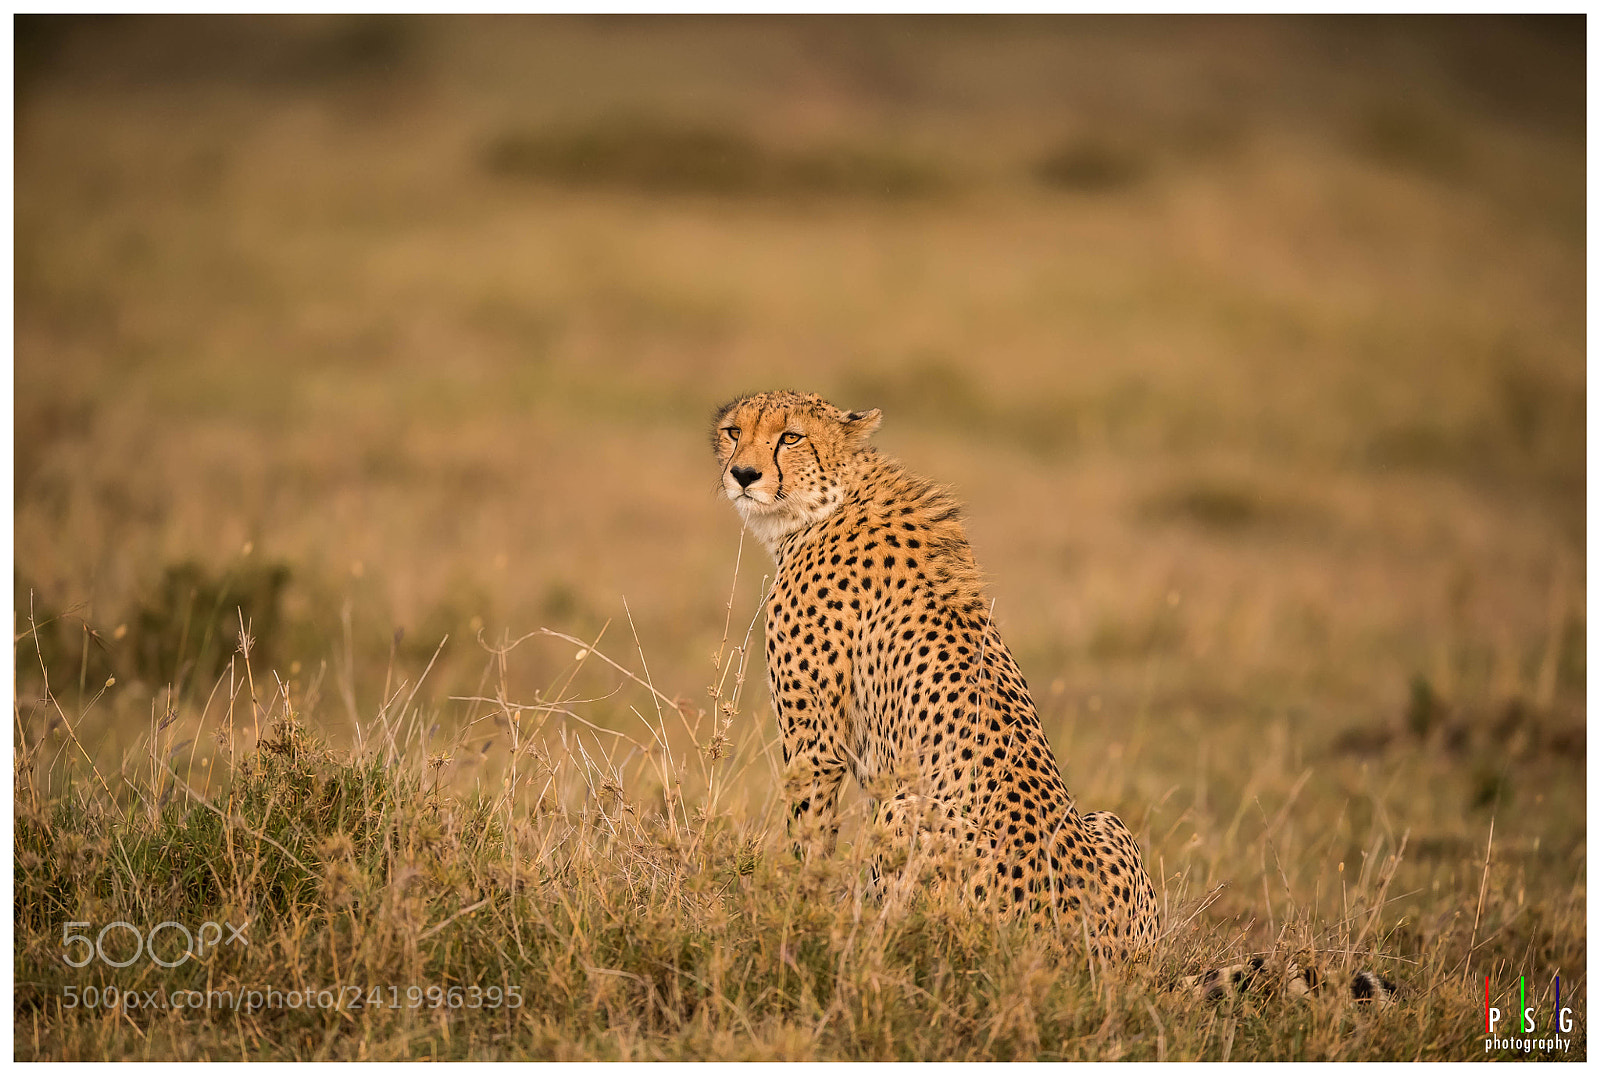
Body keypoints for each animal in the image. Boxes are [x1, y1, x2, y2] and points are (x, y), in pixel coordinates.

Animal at [711, 389, 1398, 1003]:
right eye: (733, 431)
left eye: (790, 436)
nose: (742, 474)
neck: (827, 503)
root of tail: (1126, 970)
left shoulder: (815, 748)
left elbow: (808, 846)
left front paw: (802, 920)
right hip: (1108, 822)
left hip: (906, 812)